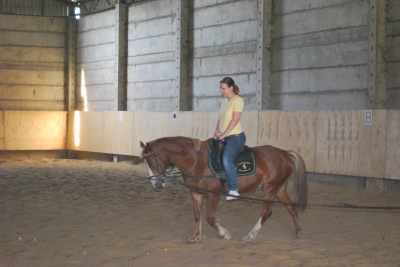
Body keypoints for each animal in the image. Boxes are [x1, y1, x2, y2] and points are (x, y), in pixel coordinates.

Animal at [139, 137, 308, 244]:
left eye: (150, 162)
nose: (157, 185)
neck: (197, 161)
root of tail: (285, 153)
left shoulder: (213, 195)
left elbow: (210, 218)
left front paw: (227, 235)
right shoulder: (196, 193)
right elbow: (197, 216)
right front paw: (196, 237)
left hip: (270, 189)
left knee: (266, 212)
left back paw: (249, 236)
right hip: (279, 189)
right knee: (291, 207)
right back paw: (298, 232)